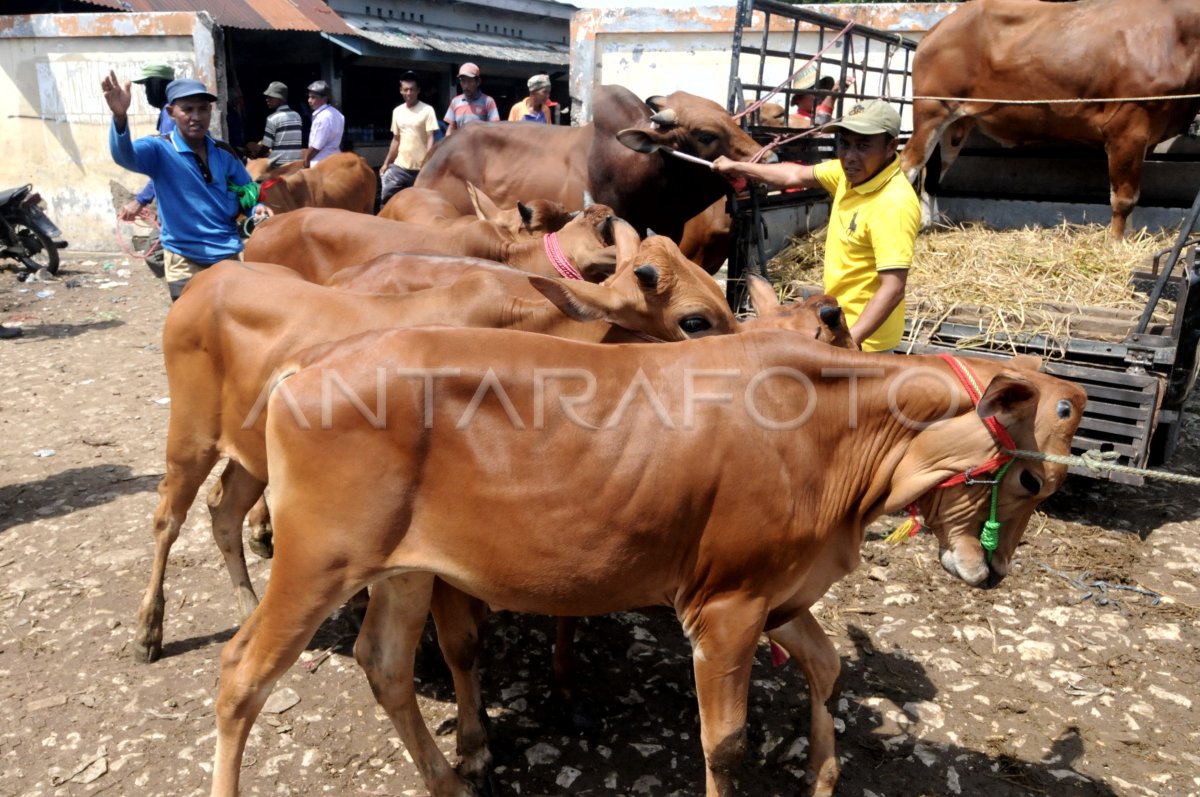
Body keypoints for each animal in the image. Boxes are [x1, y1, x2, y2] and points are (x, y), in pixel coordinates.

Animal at [211, 326, 1094, 797]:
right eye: (1030, 479)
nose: (991, 574)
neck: (836, 438)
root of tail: (312, 365)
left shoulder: (774, 590)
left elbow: (828, 662)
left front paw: (822, 771)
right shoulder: (726, 605)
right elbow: (724, 741)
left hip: (401, 570)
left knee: (386, 665)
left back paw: (452, 776)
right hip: (317, 561)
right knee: (240, 673)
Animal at [902, 0, 1200, 237]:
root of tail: (936, 29)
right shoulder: (1128, 127)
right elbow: (1124, 198)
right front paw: (1115, 243)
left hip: (956, 124)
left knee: (933, 173)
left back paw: (931, 224)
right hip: (931, 111)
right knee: (909, 164)